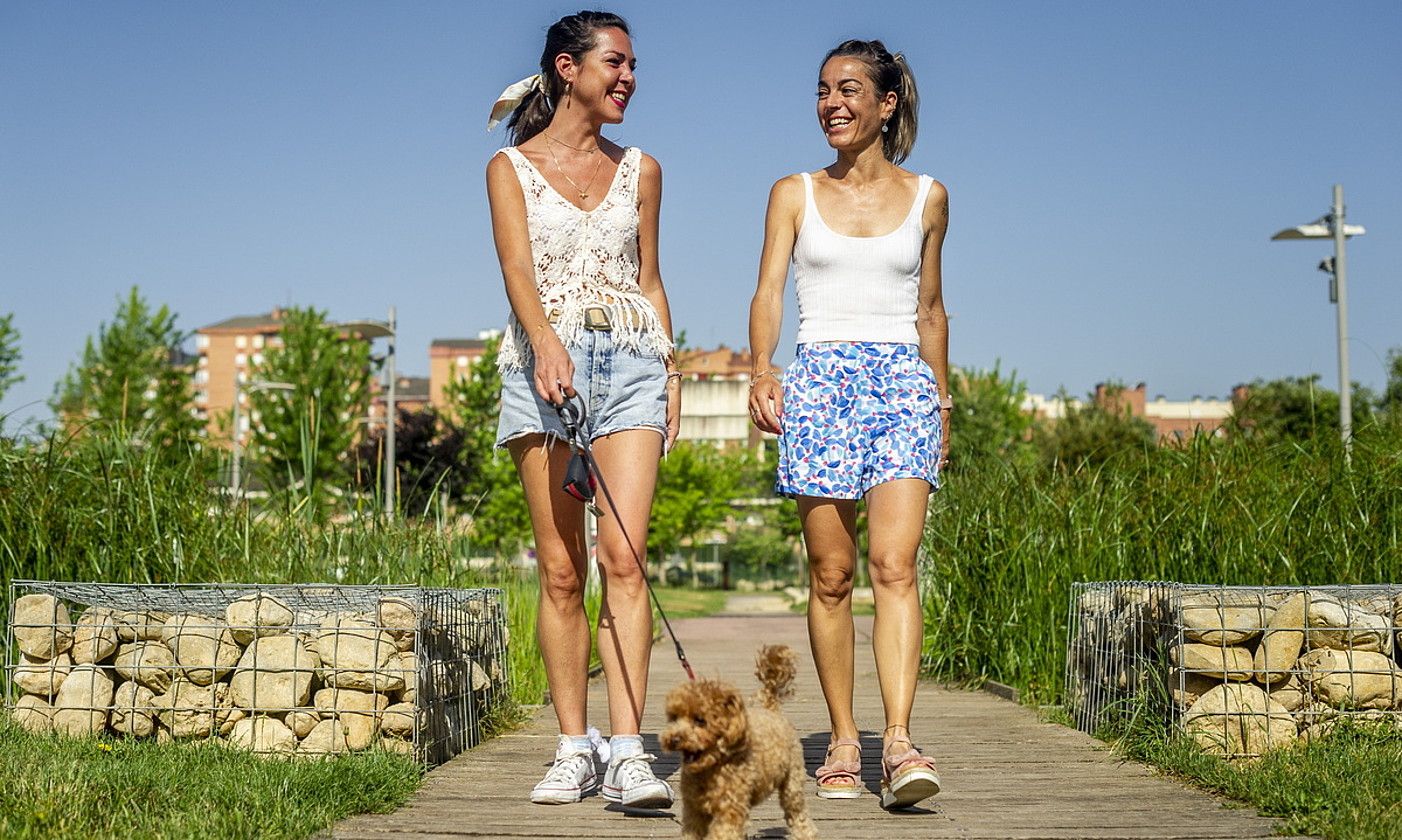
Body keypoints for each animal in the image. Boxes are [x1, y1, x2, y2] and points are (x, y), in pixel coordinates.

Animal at [658, 647, 818, 835]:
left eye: (700, 720)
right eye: (674, 718)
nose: (674, 739)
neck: (712, 767)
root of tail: (771, 710)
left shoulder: (729, 810)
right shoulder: (694, 811)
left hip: (792, 783)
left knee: (797, 814)